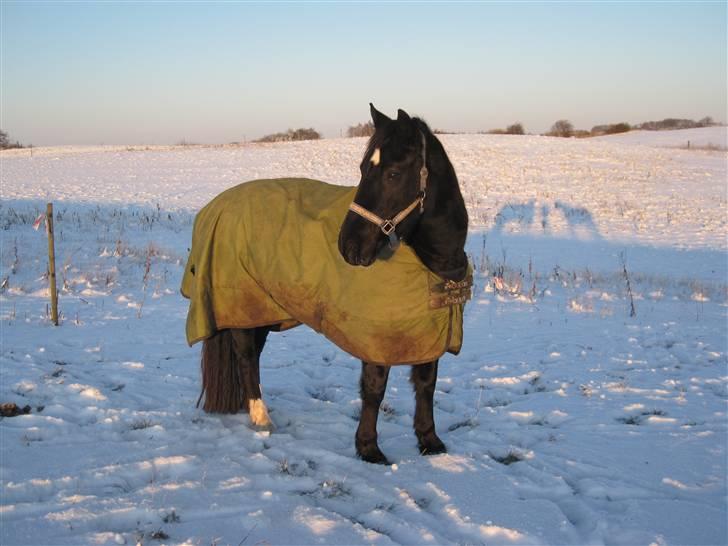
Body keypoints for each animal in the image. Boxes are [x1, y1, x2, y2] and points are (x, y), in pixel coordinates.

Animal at [198, 105, 466, 464]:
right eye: (364, 169)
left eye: (394, 174)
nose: (348, 246)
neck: (433, 262)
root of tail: (218, 204)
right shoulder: (375, 335)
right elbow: (374, 387)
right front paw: (369, 449)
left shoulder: (428, 328)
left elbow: (426, 382)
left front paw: (429, 441)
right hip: (244, 306)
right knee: (245, 357)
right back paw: (261, 418)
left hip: (263, 313)